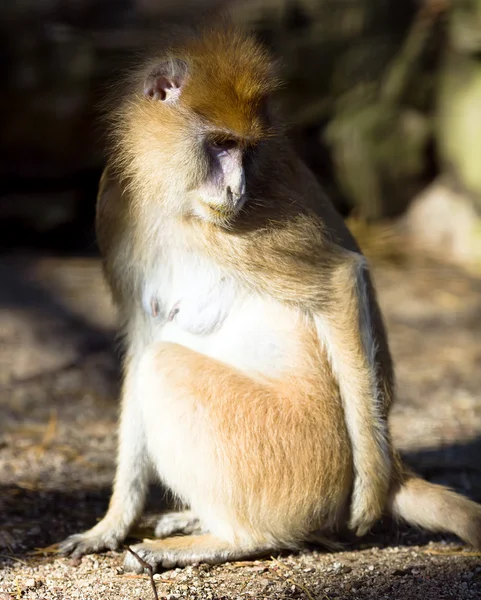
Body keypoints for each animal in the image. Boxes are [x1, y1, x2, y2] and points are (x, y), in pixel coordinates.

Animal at [60, 25, 480, 572]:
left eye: (246, 150)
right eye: (222, 144)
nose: (236, 187)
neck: (170, 200)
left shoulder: (248, 225)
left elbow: (340, 279)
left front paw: (369, 493)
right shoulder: (116, 206)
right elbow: (140, 337)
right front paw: (110, 524)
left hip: (289, 457)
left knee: (163, 367)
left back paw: (239, 537)